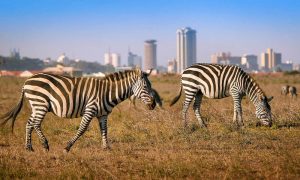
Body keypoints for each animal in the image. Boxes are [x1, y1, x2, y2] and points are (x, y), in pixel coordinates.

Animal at [0, 69, 155, 152]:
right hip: (41, 104)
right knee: (36, 123)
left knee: (29, 123)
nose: (153, 105)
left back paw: (29, 147)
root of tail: (27, 81)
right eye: (146, 87)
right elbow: (82, 129)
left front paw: (106, 148)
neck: (108, 92)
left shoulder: (103, 114)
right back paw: (45, 145)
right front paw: (67, 147)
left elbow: (104, 130)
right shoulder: (90, 109)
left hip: (36, 105)